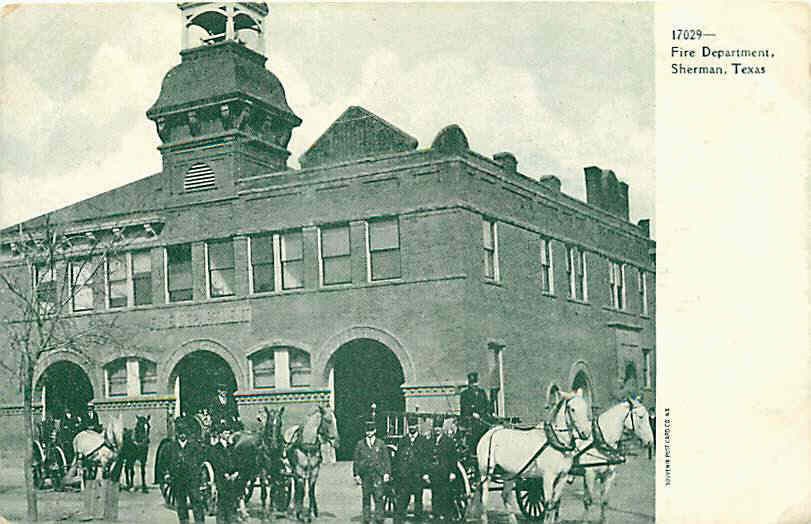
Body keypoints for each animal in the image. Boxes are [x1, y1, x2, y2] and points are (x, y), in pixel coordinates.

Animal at [476, 388, 588, 524]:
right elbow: (548, 504)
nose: (586, 433)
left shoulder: (563, 476)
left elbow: (554, 503)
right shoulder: (548, 477)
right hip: (486, 473)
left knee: (505, 495)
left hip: (509, 473)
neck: (556, 441)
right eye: (572, 409)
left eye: (585, 407)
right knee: (484, 498)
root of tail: (491, 431)